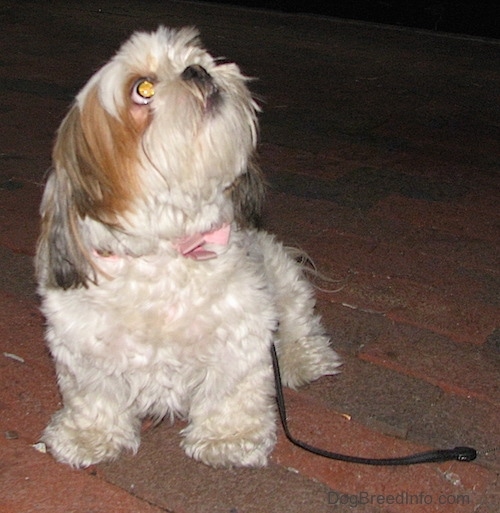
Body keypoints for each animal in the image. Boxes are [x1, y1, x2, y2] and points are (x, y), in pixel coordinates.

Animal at [34, 27, 340, 468]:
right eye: (142, 89)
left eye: (197, 57)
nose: (197, 70)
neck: (169, 250)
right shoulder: (83, 348)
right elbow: (94, 396)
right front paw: (89, 435)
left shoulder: (242, 333)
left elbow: (232, 389)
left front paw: (229, 437)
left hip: (281, 277)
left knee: (300, 322)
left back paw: (302, 358)